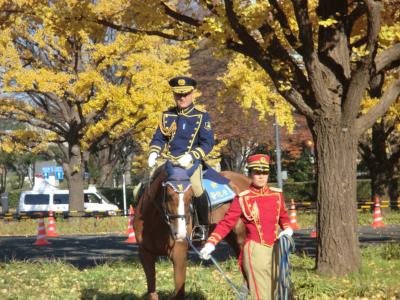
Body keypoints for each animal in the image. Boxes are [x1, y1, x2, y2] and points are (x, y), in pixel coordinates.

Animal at [134, 163, 250, 298]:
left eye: (191, 197)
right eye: (169, 196)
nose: (180, 233)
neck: (154, 221)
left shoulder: (179, 254)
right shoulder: (145, 254)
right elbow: (152, 292)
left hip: (241, 237)